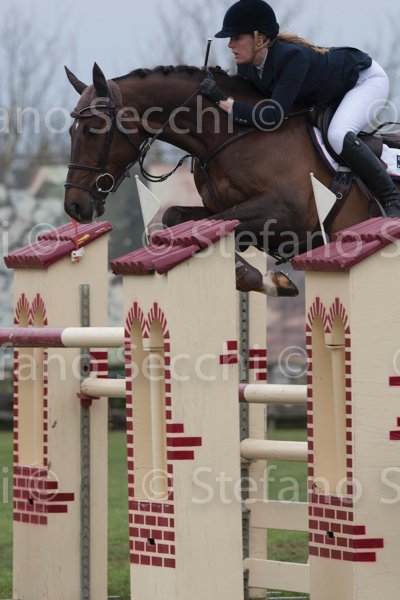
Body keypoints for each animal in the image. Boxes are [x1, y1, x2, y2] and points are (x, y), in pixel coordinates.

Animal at [64, 63, 392, 295]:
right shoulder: (218, 208)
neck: (233, 134)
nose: (74, 206)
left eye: (93, 130)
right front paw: (258, 279)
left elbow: (219, 226)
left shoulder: (288, 213)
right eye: (70, 131)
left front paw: (265, 280)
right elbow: (182, 219)